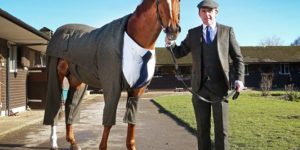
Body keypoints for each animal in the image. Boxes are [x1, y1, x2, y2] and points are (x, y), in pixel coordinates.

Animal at [44, 0, 180, 150]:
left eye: (179, 1)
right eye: (160, 2)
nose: (173, 30)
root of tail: (58, 31)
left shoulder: (136, 91)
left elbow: (131, 123)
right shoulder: (112, 87)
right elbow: (108, 122)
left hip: (77, 81)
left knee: (70, 106)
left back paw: (73, 143)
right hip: (56, 75)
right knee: (54, 108)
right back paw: (54, 143)